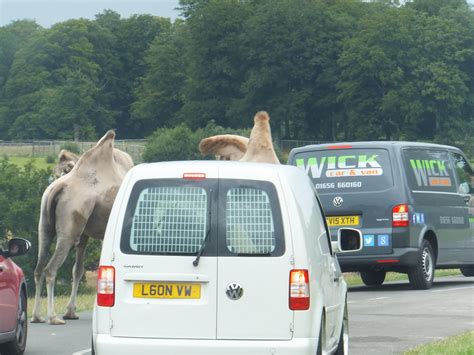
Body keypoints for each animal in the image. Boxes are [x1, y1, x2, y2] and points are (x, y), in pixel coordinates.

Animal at [30, 131, 133, 326]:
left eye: (63, 170)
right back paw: (53, 317)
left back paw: (37, 316)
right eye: (56, 170)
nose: (53, 177)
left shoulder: (84, 234)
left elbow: (77, 270)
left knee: (39, 268)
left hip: (45, 226)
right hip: (69, 228)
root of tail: (57, 188)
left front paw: (71, 311)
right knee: (50, 269)